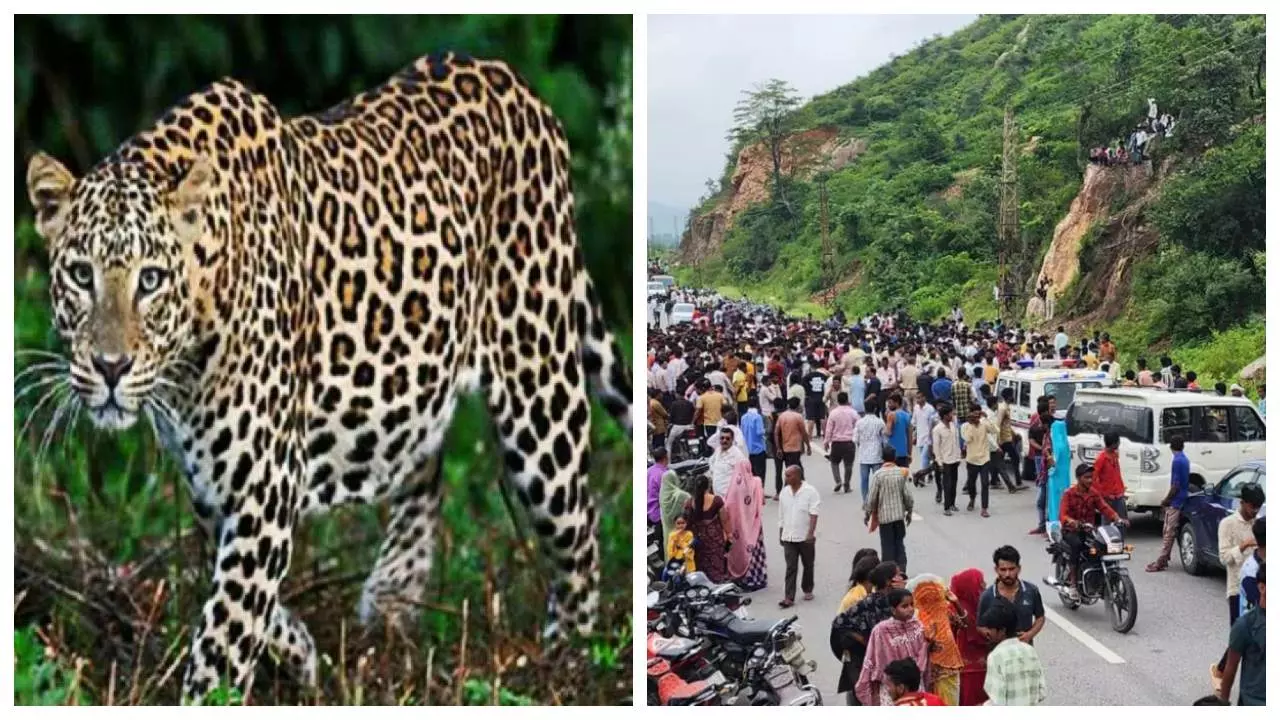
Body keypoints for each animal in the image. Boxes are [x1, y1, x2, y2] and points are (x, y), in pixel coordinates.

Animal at [22, 53, 632, 702]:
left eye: (152, 279)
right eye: (80, 275)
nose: (110, 367)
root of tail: (512, 83)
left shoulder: (262, 487)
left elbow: (225, 631)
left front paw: (214, 690)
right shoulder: (214, 488)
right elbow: (245, 602)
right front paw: (301, 654)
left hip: (539, 397)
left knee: (580, 527)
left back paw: (571, 656)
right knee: (425, 462)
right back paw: (393, 598)